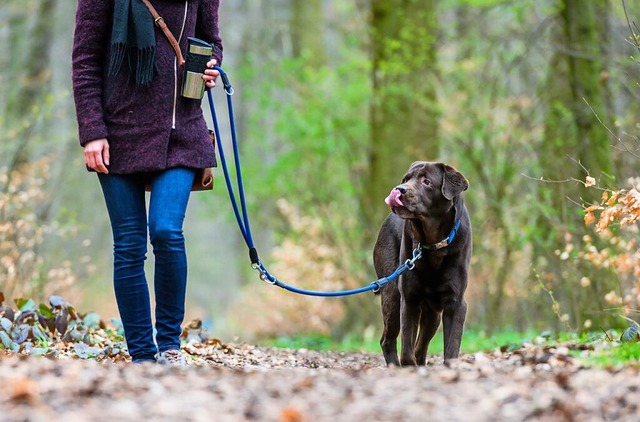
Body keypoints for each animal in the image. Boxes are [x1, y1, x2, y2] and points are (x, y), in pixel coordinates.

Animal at [372, 162, 472, 366]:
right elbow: (406, 349)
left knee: (421, 345)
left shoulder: (456, 302)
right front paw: (407, 366)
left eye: (427, 181)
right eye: (405, 179)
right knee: (388, 340)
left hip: (433, 313)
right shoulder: (408, 298)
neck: (434, 244)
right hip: (392, 294)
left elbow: (451, 347)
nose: (399, 189)